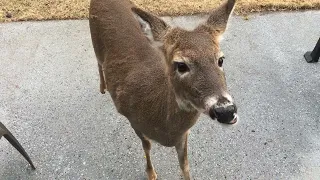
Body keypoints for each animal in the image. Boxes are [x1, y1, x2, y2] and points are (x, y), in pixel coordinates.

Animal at [89, 0, 239, 179]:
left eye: (221, 59)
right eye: (181, 65)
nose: (226, 111)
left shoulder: (183, 135)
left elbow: (184, 164)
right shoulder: (132, 119)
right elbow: (146, 146)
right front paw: (151, 173)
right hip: (95, 41)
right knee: (98, 62)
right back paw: (102, 87)